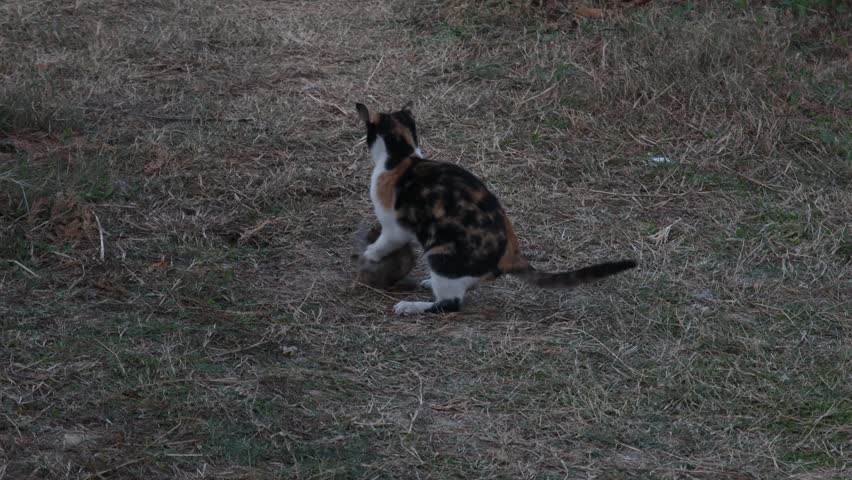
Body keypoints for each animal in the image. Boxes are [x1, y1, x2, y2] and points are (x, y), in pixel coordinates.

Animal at [356, 101, 636, 316]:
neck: (401, 157)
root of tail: (511, 256)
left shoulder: (394, 227)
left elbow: (383, 243)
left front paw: (369, 255)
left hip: (441, 253)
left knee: (449, 304)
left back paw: (411, 306)